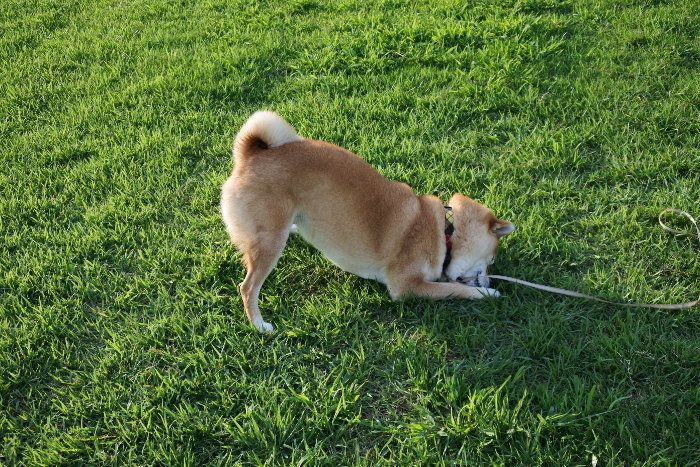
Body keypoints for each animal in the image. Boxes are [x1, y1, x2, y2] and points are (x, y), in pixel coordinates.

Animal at [221, 111, 515, 332]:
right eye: (490, 261)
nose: (488, 282)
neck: (445, 230)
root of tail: (251, 155)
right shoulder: (407, 286)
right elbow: (454, 288)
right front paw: (487, 295)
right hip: (269, 241)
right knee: (248, 287)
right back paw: (259, 325)